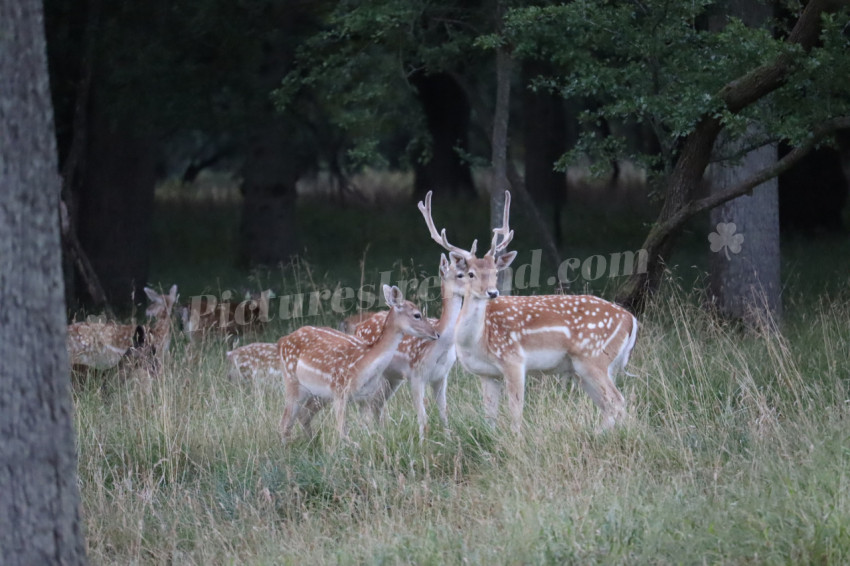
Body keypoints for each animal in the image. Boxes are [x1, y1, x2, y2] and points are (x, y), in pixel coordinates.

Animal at [278, 285, 439, 443]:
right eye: (417, 315)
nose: (436, 334)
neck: (363, 364)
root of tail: (282, 341)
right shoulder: (339, 391)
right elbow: (343, 433)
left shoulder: (365, 397)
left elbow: (369, 431)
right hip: (293, 382)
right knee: (286, 421)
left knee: (301, 415)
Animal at [351, 249, 467, 441]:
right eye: (461, 274)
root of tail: (358, 328)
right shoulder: (416, 374)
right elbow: (423, 418)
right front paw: (423, 445)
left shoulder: (441, 377)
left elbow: (444, 413)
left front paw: (450, 440)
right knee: (365, 405)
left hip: (392, 378)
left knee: (376, 405)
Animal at [420, 191, 639, 433]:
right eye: (469, 273)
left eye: (496, 272)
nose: (493, 292)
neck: (477, 341)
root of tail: (631, 319)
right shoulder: (487, 374)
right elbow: (489, 418)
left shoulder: (514, 360)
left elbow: (516, 413)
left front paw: (516, 439)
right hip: (585, 369)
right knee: (609, 407)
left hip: (593, 357)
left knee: (617, 401)